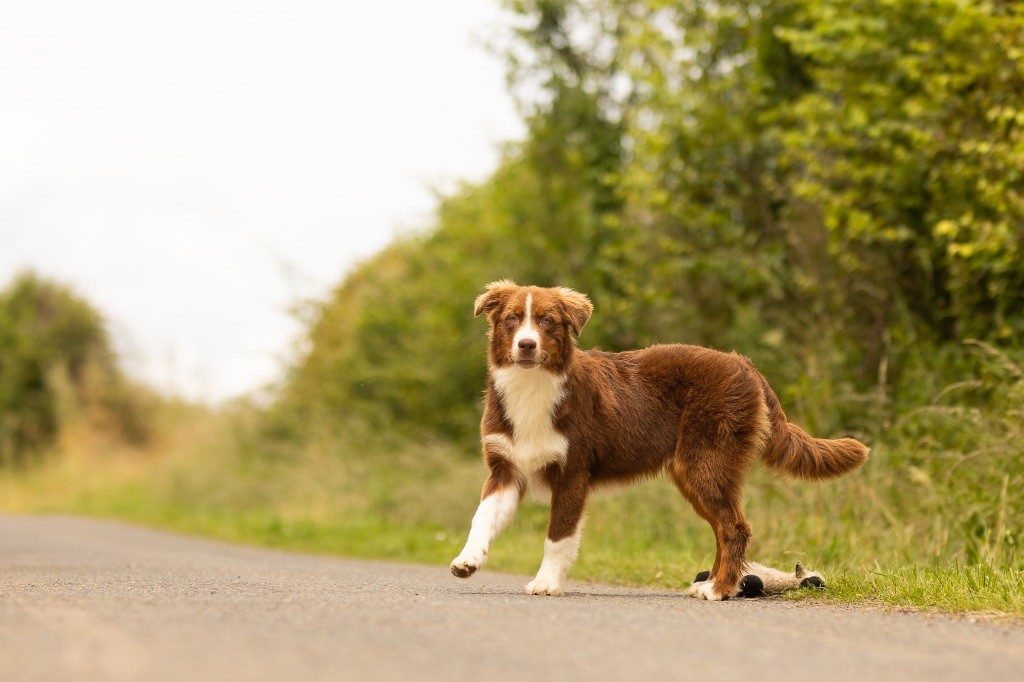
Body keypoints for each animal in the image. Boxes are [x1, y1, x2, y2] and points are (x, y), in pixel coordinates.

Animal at [446, 278, 864, 598]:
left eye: (547, 321)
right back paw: (712, 583)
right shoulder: (505, 467)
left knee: (734, 528)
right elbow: (482, 517)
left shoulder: (573, 472)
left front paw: (546, 583)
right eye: (512, 319)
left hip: (706, 462)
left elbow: (558, 536)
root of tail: (744, 364)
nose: (527, 345)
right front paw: (467, 560)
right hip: (692, 471)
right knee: (722, 529)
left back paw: (719, 590)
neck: (532, 386)